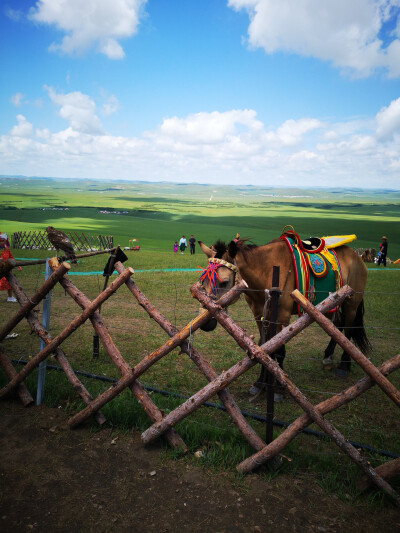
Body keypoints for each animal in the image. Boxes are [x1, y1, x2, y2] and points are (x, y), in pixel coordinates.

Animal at [198, 237, 370, 390]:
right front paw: (261, 383)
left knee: (348, 330)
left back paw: (343, 366)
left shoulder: (282, 317)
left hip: (351, 304)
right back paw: (328, 357)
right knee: (337, 326)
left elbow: (279, 349)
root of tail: (356, 256)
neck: (267, 272)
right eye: (203, 281)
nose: (206, 323)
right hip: (330, 305)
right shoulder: (260, 315)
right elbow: (265, 345)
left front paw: (279, 388)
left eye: (225, 282)